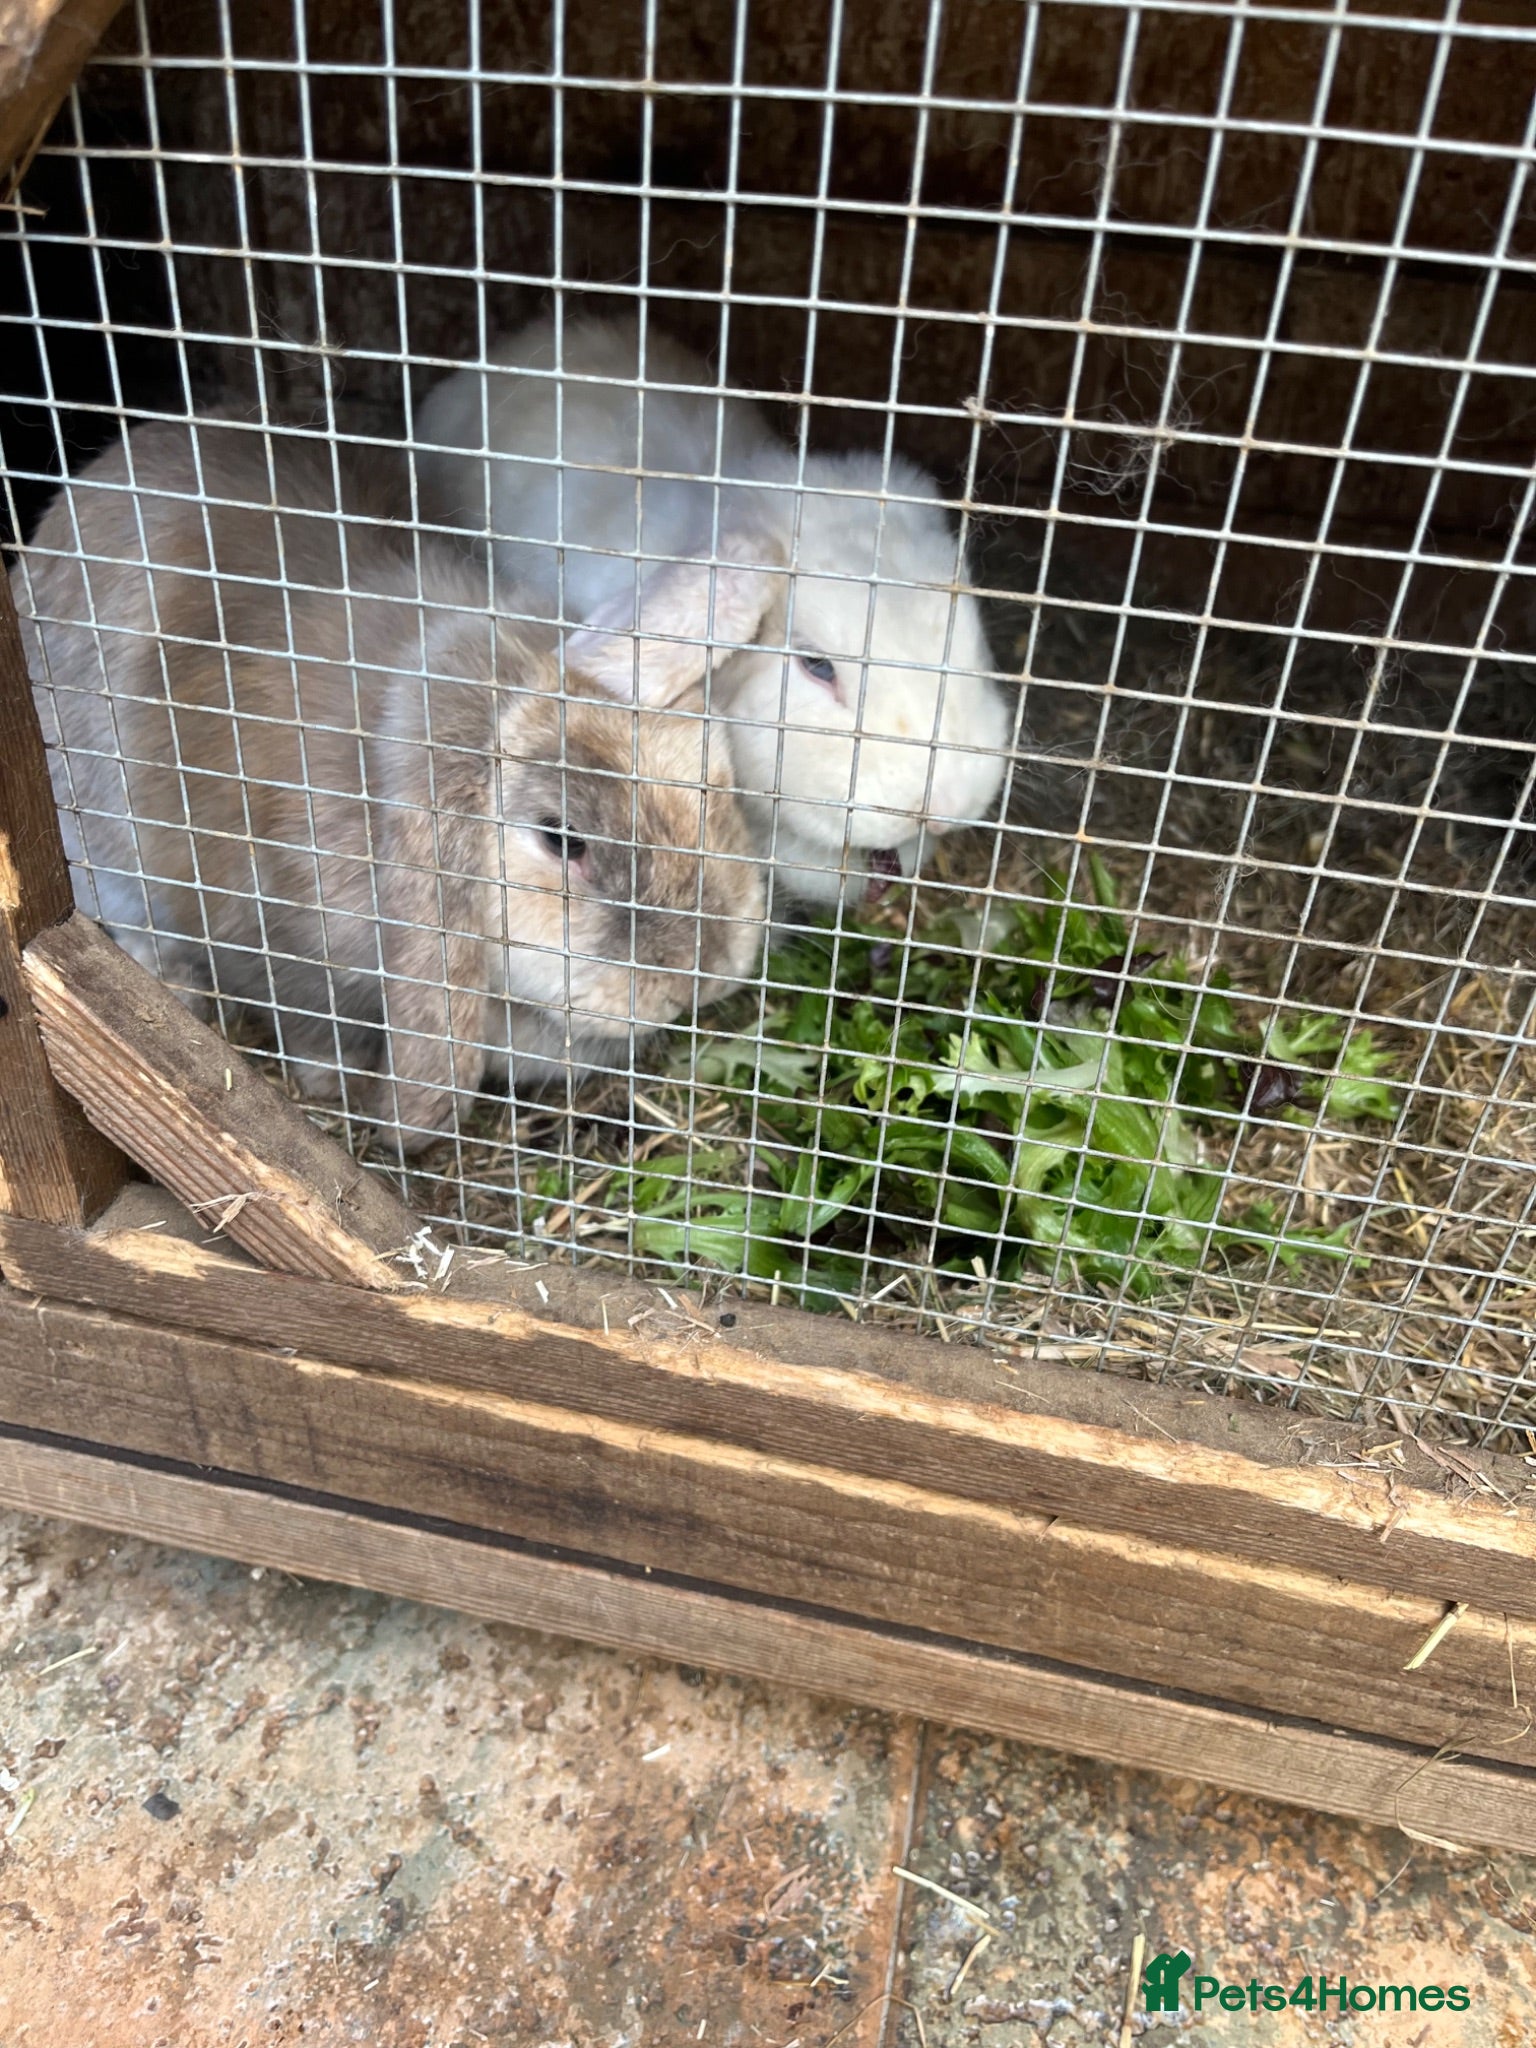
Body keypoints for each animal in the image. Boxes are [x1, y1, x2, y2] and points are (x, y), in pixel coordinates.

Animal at [13, 414, 769, 1154]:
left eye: (709, 787)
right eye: (562, 841)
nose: (699, 973)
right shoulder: (275, 947)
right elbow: (310, 1025)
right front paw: (338, 1085)